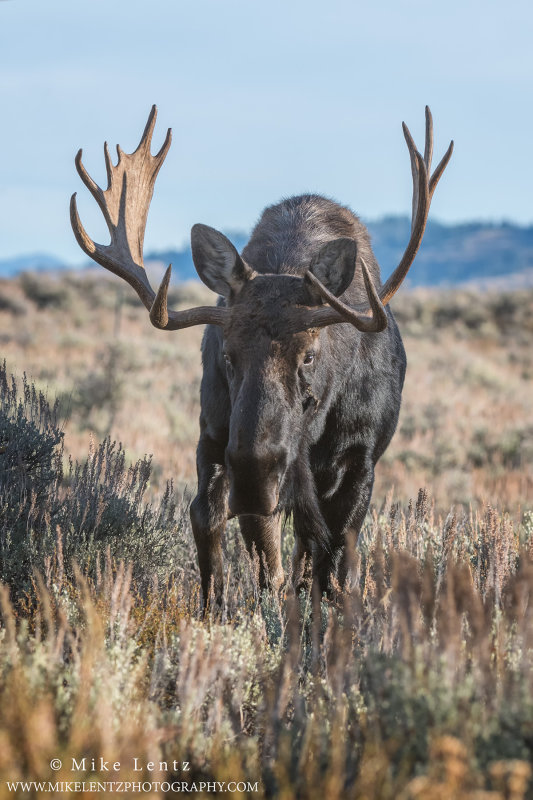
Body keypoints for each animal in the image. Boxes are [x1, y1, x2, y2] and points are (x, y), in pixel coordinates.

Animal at [69, 108, 454, 608]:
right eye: (227, 355)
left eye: (309, 355)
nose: (256, 471)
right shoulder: (219, 440)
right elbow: (252, 553)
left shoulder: (359, 457)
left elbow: (334, 563)